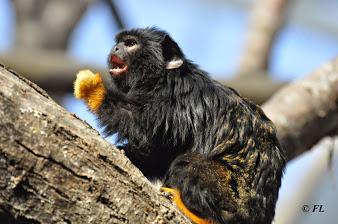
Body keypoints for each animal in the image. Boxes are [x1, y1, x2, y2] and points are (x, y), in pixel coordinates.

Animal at [74, 27, 286, 224]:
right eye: (118, 43)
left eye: (130, 44)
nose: (116, 48)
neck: (161, 77)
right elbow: (160, 152)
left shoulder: (174, 98)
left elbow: (140, 126)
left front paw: (94, 89)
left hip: (233, 201)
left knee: (189, 164)